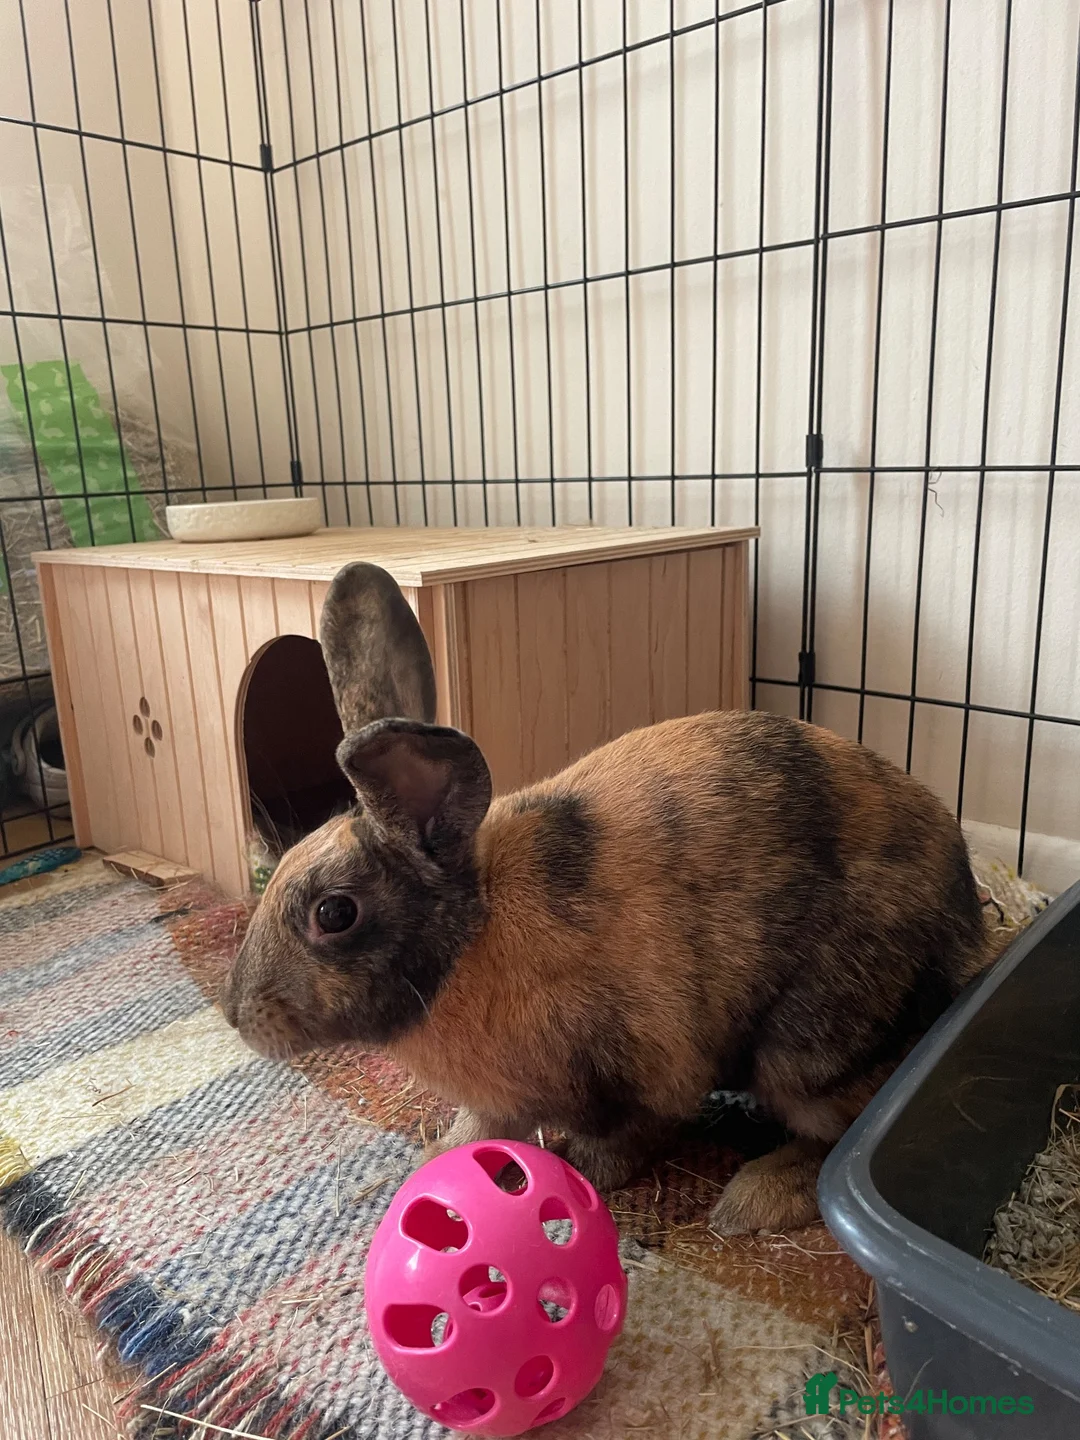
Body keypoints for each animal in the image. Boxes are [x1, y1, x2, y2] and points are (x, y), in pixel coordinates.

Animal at [221, 561, 990, 1235]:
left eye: (334, 913)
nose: (235, 1014)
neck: (470, 939)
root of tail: (968, 926)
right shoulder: (501, 1102)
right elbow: (481, 1130)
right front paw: (429, 1166)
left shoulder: (647, 1067)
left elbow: (630, 1135)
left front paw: (581, 1172)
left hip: (807, 1048)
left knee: (842, 1134)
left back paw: (752, 1201)